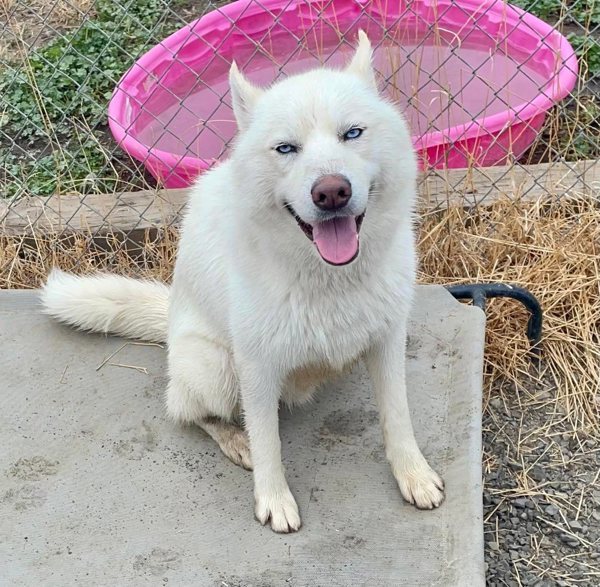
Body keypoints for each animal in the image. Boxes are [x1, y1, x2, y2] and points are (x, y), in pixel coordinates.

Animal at [42, 34, 442, 536]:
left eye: (353, 133)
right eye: (286, 148)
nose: (332, 191)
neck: (329, 279)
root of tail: (169, 316)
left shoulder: (387, 340)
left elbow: (397, 416)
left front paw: (413, 475)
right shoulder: (256, 365)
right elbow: (268, 440)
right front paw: (273, 499)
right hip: (216, 368)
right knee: (187, 410)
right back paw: (235, 439)